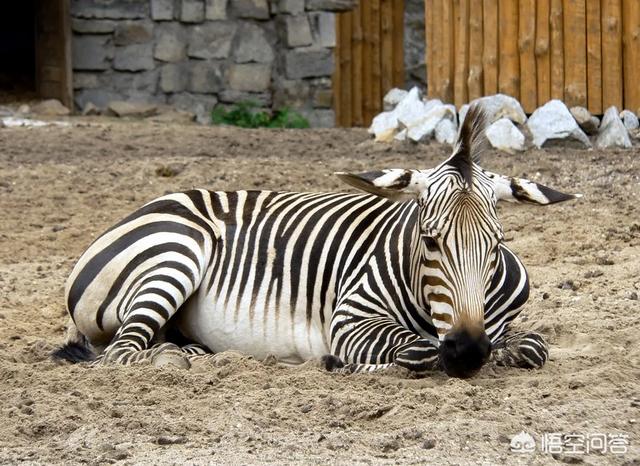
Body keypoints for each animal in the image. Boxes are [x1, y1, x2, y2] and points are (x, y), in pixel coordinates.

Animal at [52, 105, 576, 378]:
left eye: (496, 245)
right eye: (429, 242)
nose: (468, 352)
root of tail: (146, 205)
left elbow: (534, 346)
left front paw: (505, 351)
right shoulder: (350, 319)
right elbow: (416, 351)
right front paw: (340, 362)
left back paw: (195, 352)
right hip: (174, 256)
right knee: (123, 351)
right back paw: (170, 359)